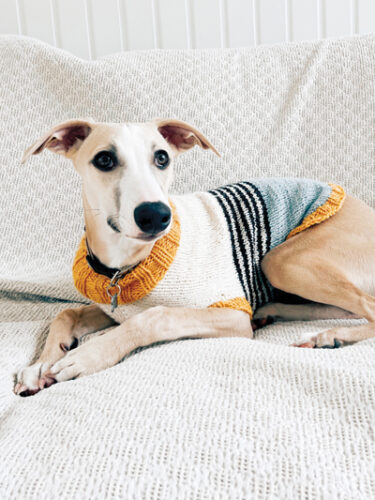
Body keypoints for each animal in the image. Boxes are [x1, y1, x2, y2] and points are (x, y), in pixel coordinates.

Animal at [14, 117, 375, 394]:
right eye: (104, 160)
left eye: (162, 158)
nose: (156, 215)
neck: (124, 263)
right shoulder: (112, 306)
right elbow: (67, 313)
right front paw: (40, 365)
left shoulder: (230, 313)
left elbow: (157, 315)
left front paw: (88, 355)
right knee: (344, 307)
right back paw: (276, 314)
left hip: (280, 262)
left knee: (367, 308)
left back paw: (327, 336)